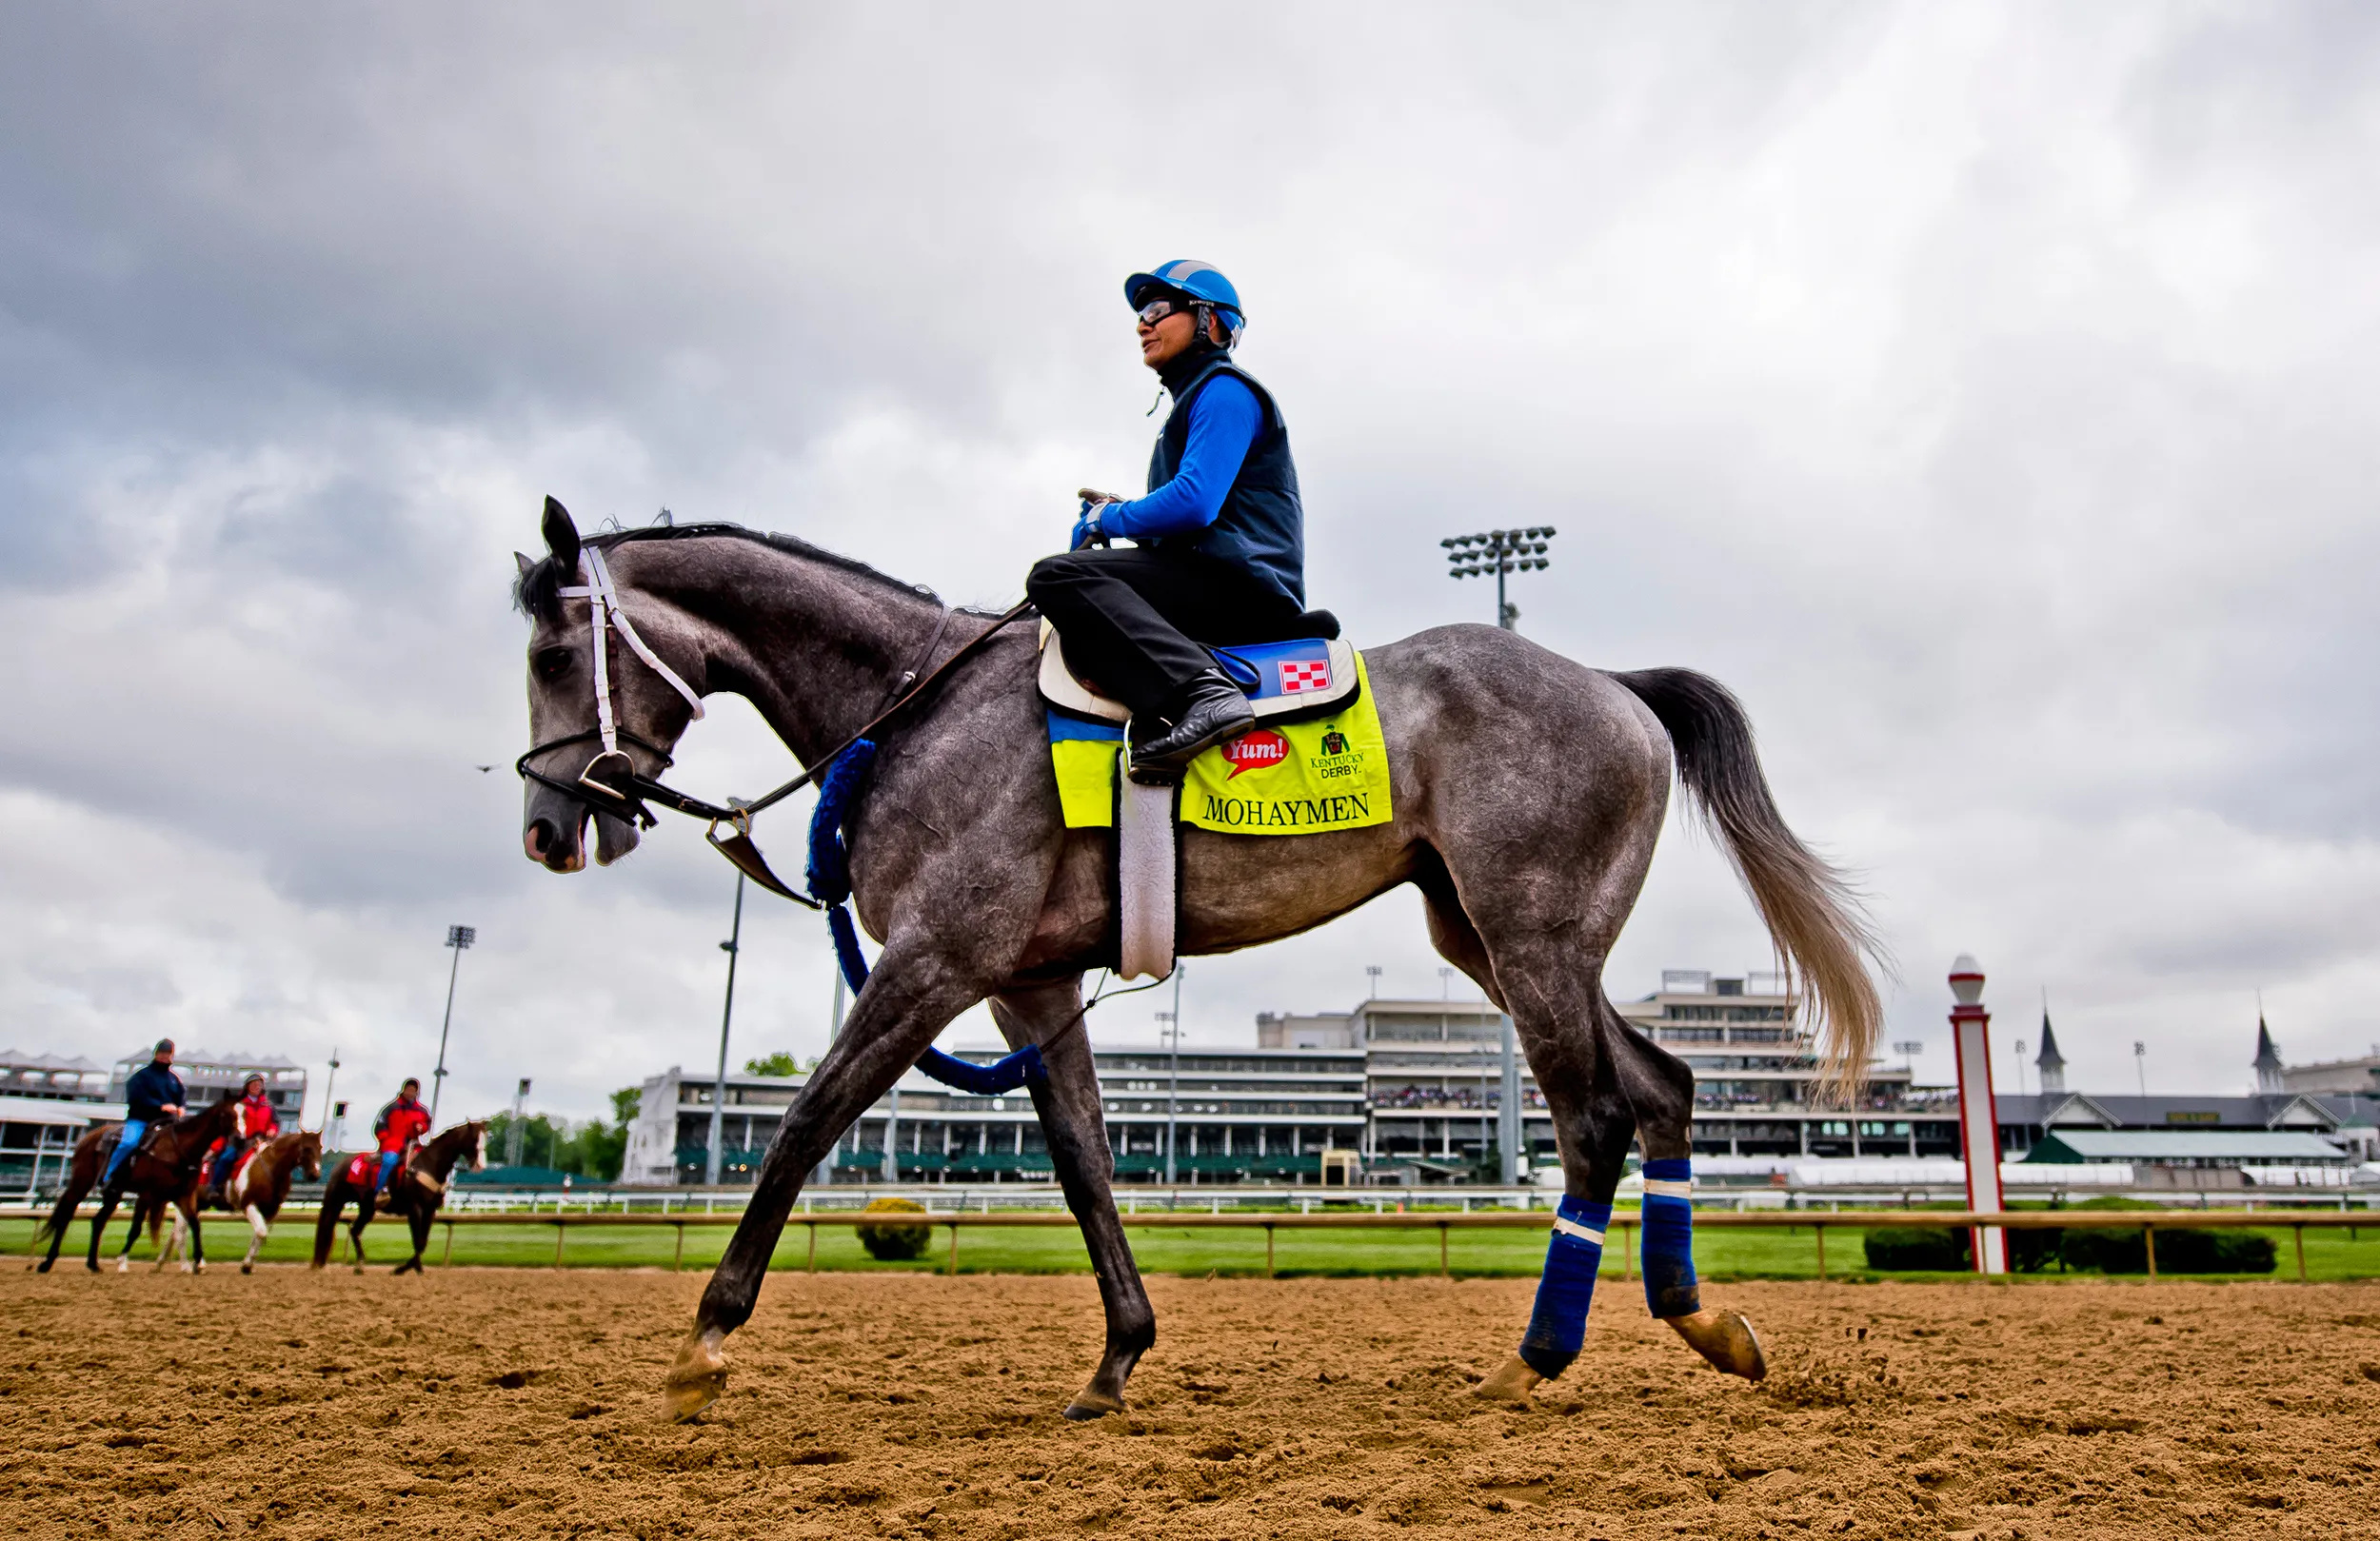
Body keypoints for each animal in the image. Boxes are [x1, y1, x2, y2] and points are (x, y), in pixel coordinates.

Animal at [34, 1094, 243, 1274]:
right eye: (228, 1114)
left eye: (244, 1114)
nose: (240, 1138)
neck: (178, 1149)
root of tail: (88, 1137)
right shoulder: (147, 1194)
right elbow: (136, 1229)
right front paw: (122, 1262)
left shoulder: (183, 1195)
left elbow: (195, 1225)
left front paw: (198, 1262)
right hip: (81, 1183)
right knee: (66, 1215)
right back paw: (47, 1263)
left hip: (114, 1192)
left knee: (99, 1221)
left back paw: (93, 1264)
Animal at [163, 1127, 326, 1274]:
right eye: (306, 1148)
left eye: (320, 1147)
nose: (315, 1175)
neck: (270, 1167)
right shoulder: (249, 1204)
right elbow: (261, 1232)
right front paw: (247, 1265)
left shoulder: (271, 1210)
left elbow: (260, 1235)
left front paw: (247, 1266)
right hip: (185, 1202)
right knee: (180, 1232)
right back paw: (187, 1266)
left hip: (197, 1204)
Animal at [311, 1117, 487, 1274]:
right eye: (474, 1139)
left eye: (485, 1139)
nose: (480, 1165)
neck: (427, 1165)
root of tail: (340, 1165)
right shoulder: (415, 1208)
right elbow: (418, 1240)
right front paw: (403, 1269)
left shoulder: (430, 1210)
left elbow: (423, 1242)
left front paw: (413, 1268)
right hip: (336, 1201)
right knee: (329, 1225)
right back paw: (321, 1264)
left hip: (367, 1208)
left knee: (354, 1230)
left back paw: (359, 1264)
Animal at [506, 502, 1875, 1417]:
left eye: (548, 653)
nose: (550, 825)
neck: (918, 704)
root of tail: (1612, 681)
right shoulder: (1027, 981)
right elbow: (1082, 1162)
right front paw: (1117, 1353)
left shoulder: (935, 959)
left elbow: (805, 1121)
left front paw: (705, 1342)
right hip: (1496, 936)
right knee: (1663, 1087)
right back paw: (1702, 1319)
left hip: (1530, 938)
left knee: (1594, 1118)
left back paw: (1534, 1355)